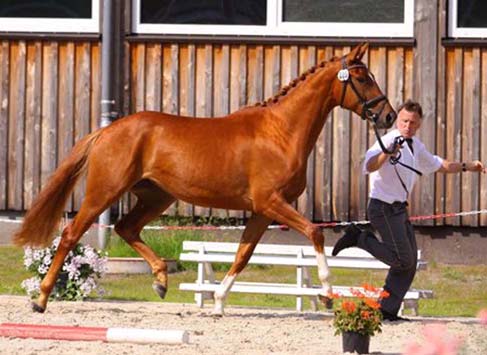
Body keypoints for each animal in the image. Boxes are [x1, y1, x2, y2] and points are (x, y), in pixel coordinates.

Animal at [14, 42, 396, 314]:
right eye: (363, 78)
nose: (389, 116)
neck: (281, 131)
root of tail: (108, 131)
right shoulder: (271, 202)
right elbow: (315, 233)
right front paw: (328, 293)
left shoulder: (262, 210)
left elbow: (243, 254)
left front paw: (218, 301)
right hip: (104, 191)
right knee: (71, 234)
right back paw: (41, 299)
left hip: (156, 196)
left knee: (126, 228)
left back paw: (161, 281)